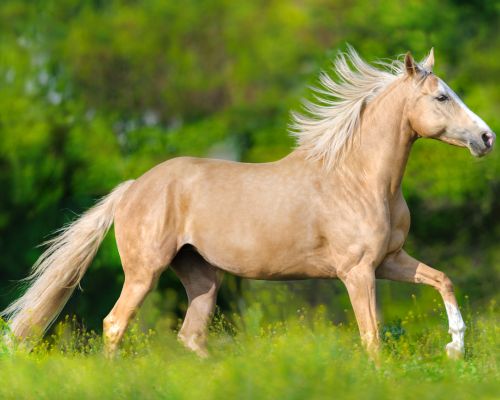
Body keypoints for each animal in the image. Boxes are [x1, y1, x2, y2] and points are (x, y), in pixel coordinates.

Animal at [1, 48, 494, 358]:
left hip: (202, 277)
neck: (359, 179)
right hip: (145, 272)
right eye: (441, 96)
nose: (487, 137)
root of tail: (133, 187)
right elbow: (371, 337)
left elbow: (443, 280)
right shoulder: (357, 272)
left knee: (190, 336)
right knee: (115, 324)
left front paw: (455, 347)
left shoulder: (389, 260)